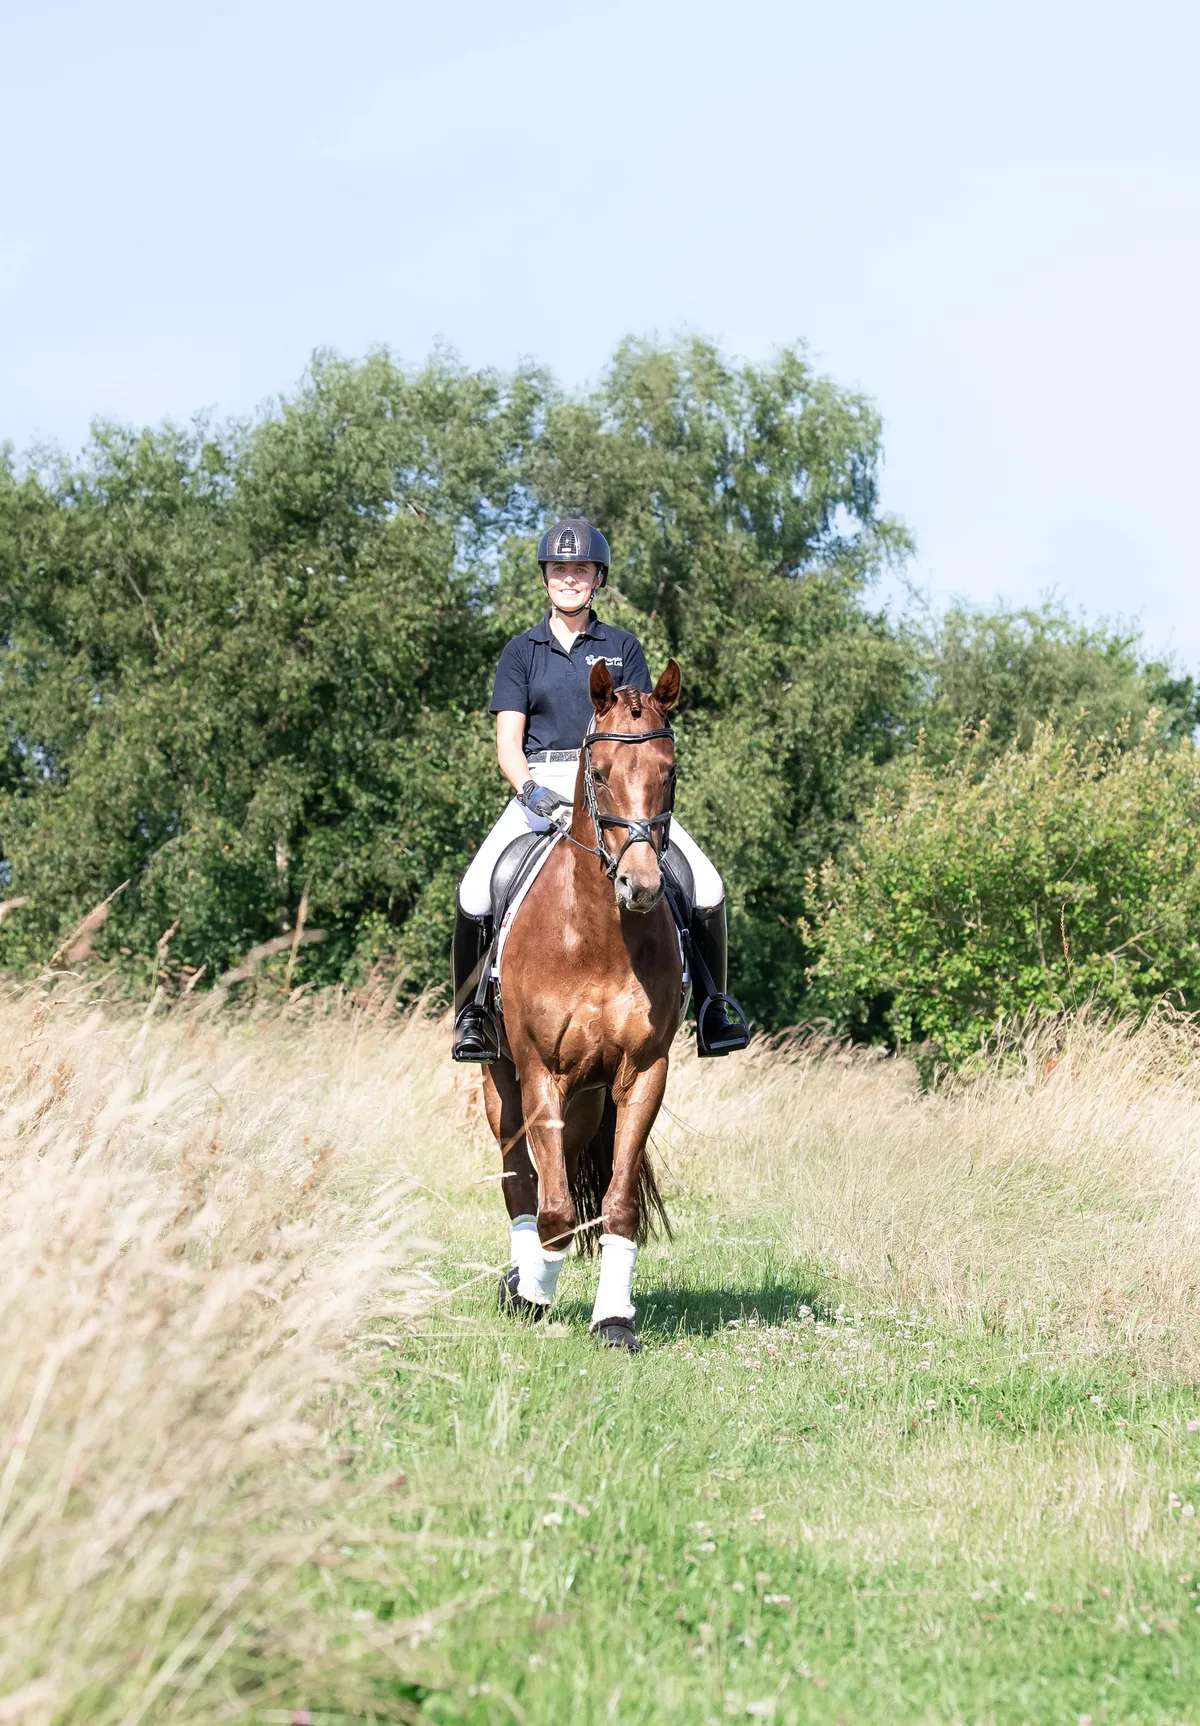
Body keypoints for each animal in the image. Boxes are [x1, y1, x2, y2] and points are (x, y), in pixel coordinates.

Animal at [481, 658, 684, 1352]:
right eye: (598, 774)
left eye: (669, 771)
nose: (640, 886)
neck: (597, 934)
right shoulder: (540, 1072)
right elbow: (552, 1207)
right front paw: (534, 1296)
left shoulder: (643, 1074)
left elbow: (616, 1204)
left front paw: (614, 1319)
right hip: (504, 1084)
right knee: (523, 1182)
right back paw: (520, 1280)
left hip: (588, 1098)